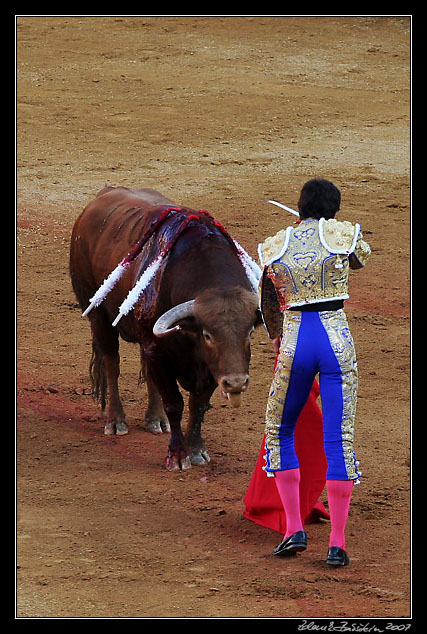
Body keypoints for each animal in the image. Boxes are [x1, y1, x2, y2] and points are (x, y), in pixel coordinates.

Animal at [70, 185, 262, 466]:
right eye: (207, 335)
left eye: (249, 333)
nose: (236, 383)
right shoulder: (160, 351)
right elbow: (174, 402)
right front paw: (178, 455)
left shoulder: (209, 367)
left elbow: (198, 405)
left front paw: (197, 450)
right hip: (98, 315)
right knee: (112, 364)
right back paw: (116, 421)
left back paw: (156, 419)